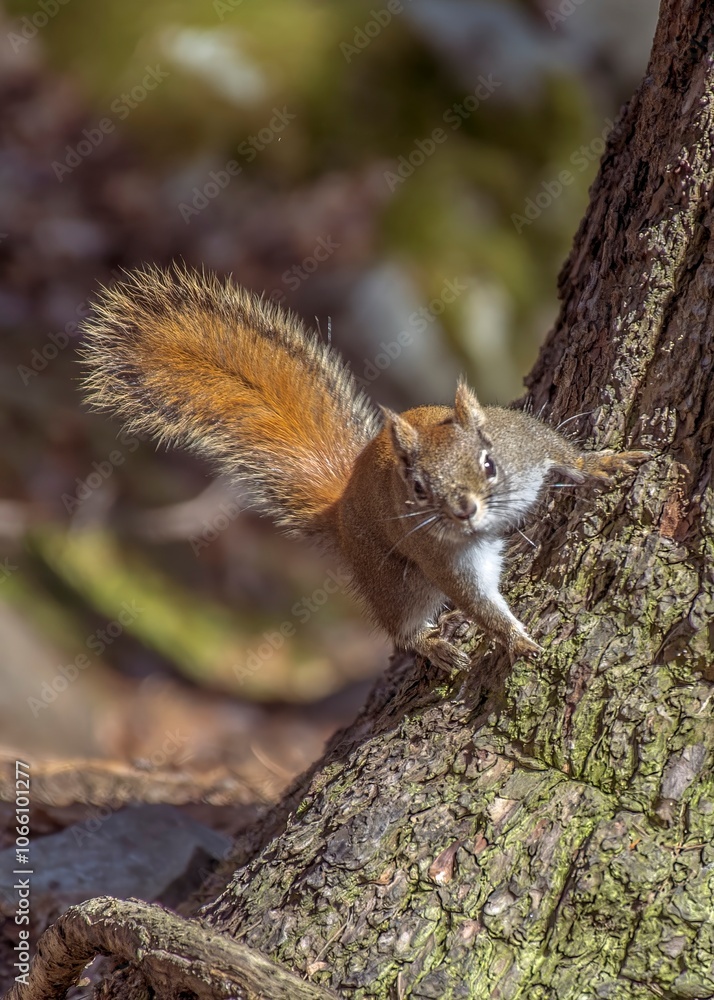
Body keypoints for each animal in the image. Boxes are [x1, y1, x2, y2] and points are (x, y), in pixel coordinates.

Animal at [80, 264, 647, 672]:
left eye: (489, 462)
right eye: (417, 489)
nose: (464, 510)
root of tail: (342, 506)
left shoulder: (525, 444)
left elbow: (563, 452)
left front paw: (604, 463)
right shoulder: (443, 557)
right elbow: (477, 602)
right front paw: (517, 641)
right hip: (392, 577)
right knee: (401, 625)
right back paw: (432, 646)